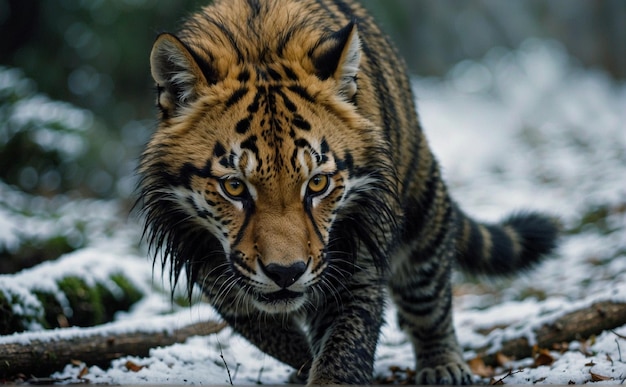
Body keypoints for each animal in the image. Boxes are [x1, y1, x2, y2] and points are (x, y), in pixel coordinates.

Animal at [139, 0, 560, 384]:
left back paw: (444, 367)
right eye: (234, 186)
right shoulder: (202, 254)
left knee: (430, 296)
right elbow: (259, 324)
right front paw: (301, 361)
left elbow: (344, 346)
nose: (286, 272)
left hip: (423, 209)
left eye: (317, 183)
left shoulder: (357, 256)